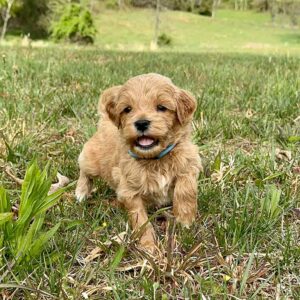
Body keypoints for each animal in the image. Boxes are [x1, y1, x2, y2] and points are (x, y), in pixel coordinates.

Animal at [75, 73, 202, 251]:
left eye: (161, 107)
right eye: (128, 109)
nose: (141, 123)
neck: (155, 159)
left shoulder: (190, 161)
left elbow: (186, 188)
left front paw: (185, 220)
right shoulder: (129, 190)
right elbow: (140, 220)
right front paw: (148, 246)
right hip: (92, 160)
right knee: (84, 170)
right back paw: (81, 191)